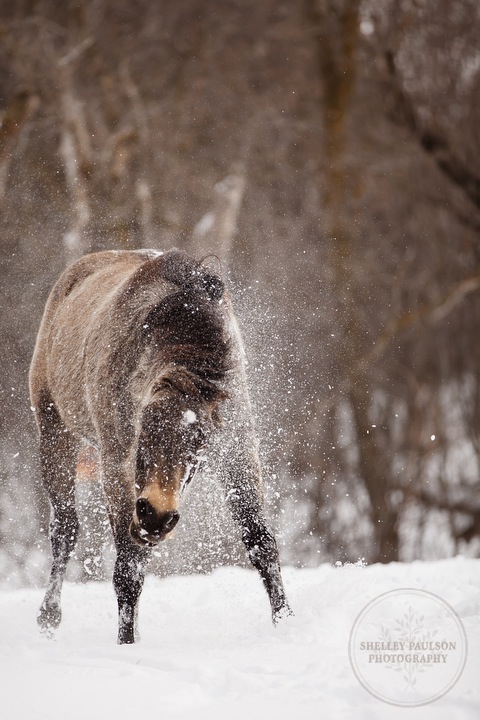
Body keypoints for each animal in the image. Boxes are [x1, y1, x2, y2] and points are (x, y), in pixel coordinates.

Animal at [31, 250, 292, 644]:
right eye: (141, 432)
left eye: (200, 441)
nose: (157, 514)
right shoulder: (117, 466)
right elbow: (127, 569)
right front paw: (126, 643)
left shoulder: (236, 451)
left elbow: (261, 542)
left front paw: (286, 621)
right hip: (55, 433)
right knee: (64, 529)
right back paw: (48, 616)